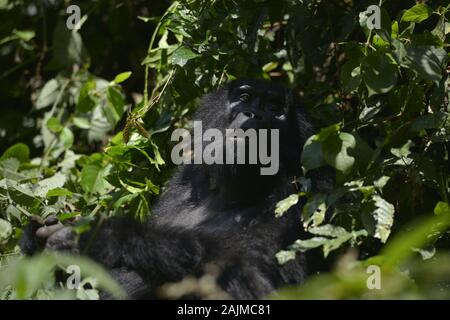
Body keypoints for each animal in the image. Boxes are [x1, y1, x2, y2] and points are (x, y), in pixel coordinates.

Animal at [20, 79, 330, 298]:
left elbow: (260, 276)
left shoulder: (308, 188)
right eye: (244, 98)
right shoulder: (184, 183)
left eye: (276, 109)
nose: (254, 115)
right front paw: (35, 241)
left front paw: (104, 236)